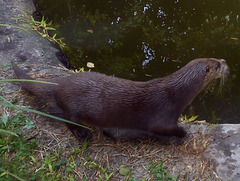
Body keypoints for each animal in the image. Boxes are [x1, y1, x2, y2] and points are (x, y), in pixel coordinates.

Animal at [11, 58, 229, 141]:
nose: (225, 61)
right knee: (67, 119)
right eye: (217, 65)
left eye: (215, 58)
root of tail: (60, 83)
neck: (175, 94)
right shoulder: (163, 117)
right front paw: (183, 133)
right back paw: (82, 134)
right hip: (73, 108)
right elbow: (164, 129)